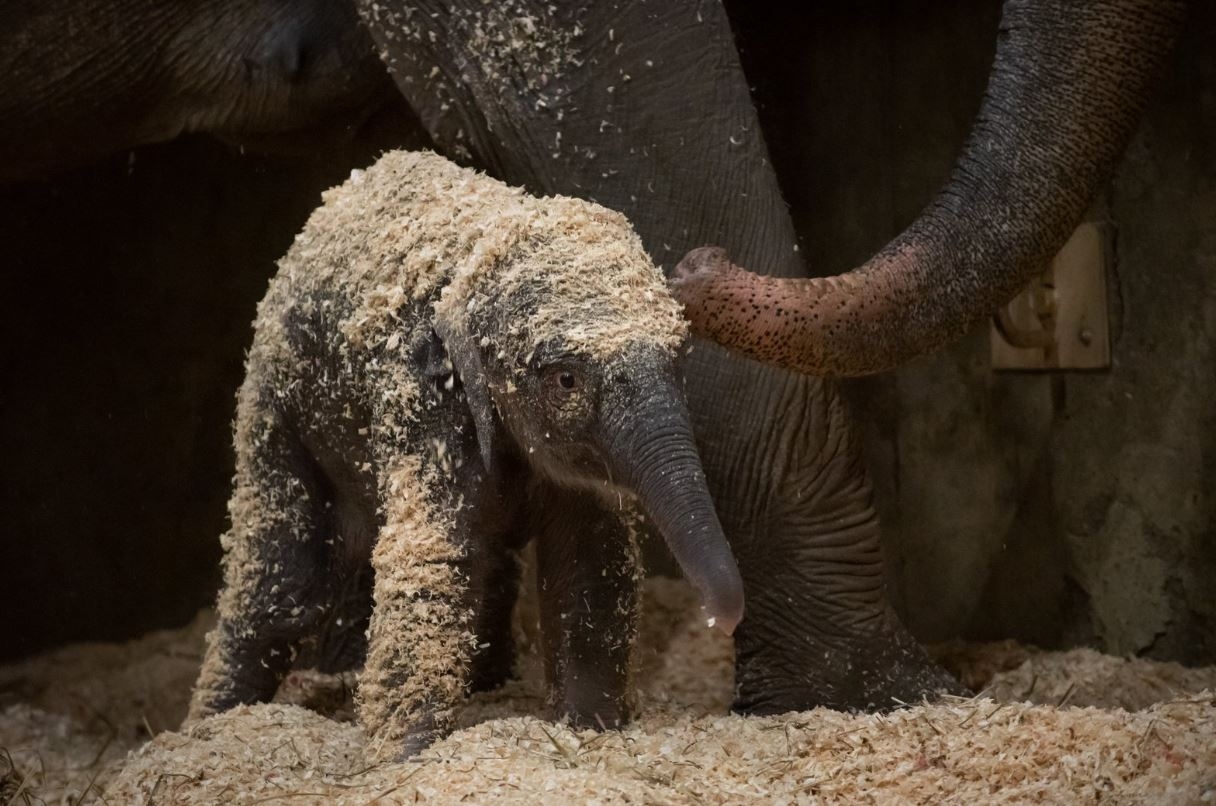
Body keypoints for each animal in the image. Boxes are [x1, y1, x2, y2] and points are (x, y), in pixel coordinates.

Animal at [187, 150, 744, 758]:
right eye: (567, 380)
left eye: (679, 357)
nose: (722, 621)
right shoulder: (422, 400)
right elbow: (430, 558)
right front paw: (402, 758)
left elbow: (590, 559)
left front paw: (587, 729)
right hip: (276, 410)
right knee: (284, 581)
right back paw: (208, 726)